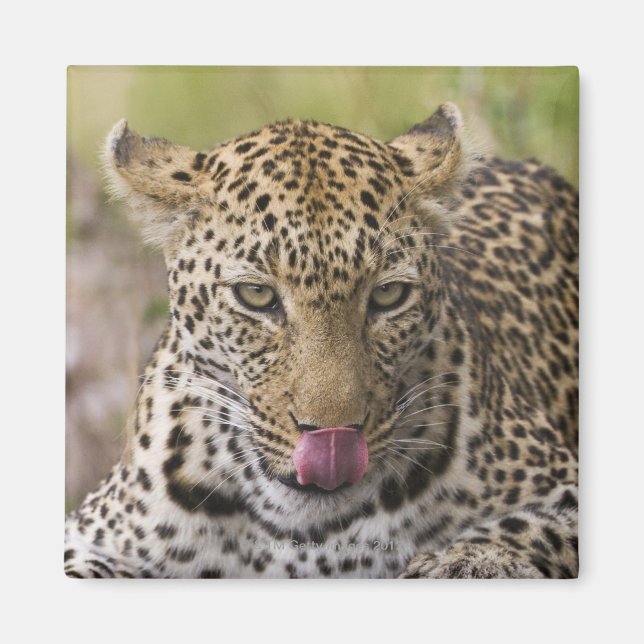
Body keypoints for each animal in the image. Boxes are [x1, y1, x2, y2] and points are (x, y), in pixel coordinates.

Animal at [64, 102, 579, 578]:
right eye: (257, 295)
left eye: (388, 295)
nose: (332, 436)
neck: (302, 533)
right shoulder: (92, 535)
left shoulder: (561, 490)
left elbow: (516, 531)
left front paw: (460, 565)